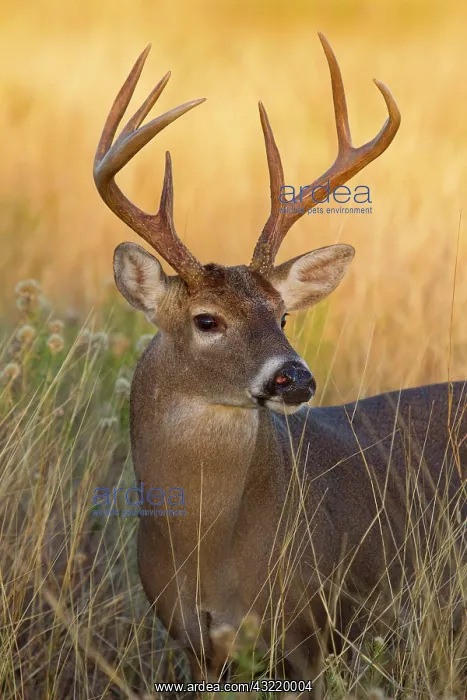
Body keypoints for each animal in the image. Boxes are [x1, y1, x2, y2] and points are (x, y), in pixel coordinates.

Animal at [93, 34, 466, 695]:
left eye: (283, 316)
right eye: (207, 320)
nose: (296, 377)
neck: (210, 552)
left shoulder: (314, 628)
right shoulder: (194, 646)